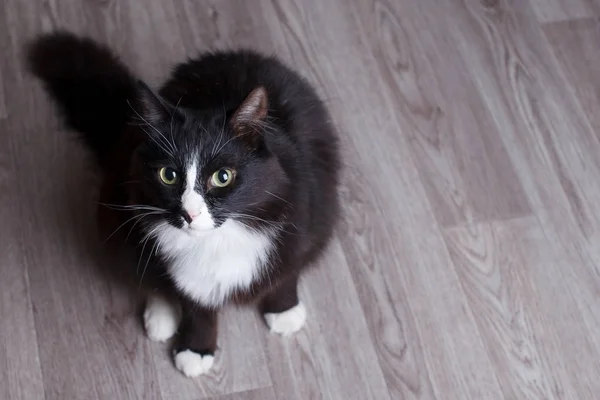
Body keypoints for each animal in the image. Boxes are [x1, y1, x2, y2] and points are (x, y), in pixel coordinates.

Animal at [28, 32, 340, 378]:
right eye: (168, 175)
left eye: (222, 177)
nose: (189, 213)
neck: (218, 241)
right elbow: (195, 306)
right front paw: (196, 349)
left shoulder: (303, 218)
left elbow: (287, 272)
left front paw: (283, 310)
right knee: (149, 278)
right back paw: (160, 317)